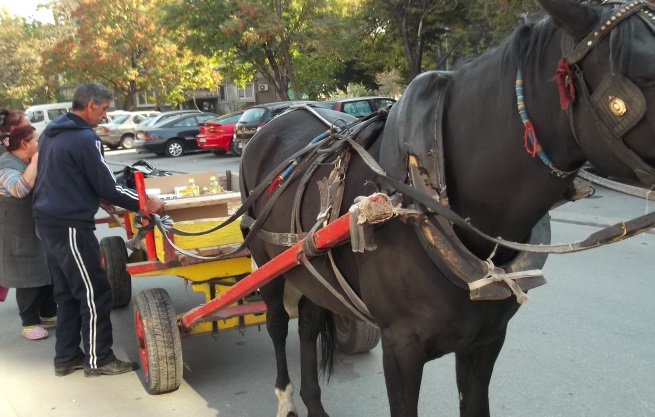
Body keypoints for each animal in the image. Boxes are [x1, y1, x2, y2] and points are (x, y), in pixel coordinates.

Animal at [238, 1, 655, 414]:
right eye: (644, 74)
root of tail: (270, 126)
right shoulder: (401, 347)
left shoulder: (487, 340)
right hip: (265, 259)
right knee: (278, 323)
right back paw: (286, 397)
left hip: (309, 267)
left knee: (309, 322)